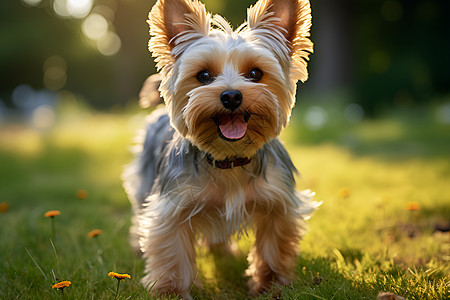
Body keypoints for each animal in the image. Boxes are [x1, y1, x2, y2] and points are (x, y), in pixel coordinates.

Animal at [122, 0, 320, 296]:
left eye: (255, 74)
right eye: (203, 75)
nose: (231, 96)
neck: (229, 158)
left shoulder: (279, 202)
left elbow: (273, 248)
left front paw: (270, 285)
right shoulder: (172, 206)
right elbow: (172, 251)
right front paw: (171, 291)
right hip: (145, 180)